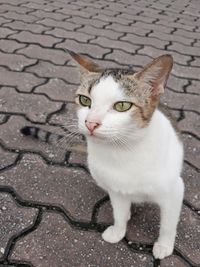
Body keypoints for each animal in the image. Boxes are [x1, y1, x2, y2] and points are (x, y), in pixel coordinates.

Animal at [21, 49, 184, 260]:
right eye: (85, 100)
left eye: (122, 106)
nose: (91, 123)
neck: (124, 152)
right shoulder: (116, 188)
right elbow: (119, 213)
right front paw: (118, 230)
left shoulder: (174, 191)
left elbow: (168, 224)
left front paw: (164, 246)